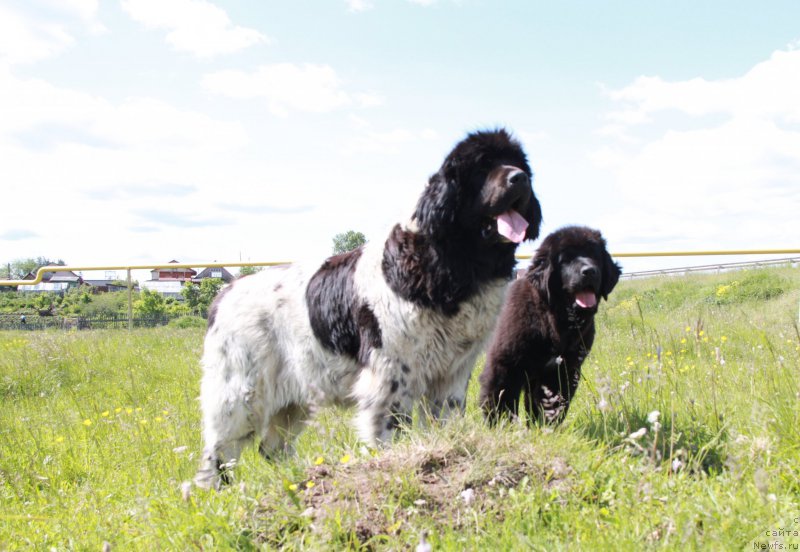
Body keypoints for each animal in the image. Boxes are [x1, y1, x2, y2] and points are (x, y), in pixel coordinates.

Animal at [196, 129, 540, 488]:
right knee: (219, 452)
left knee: (271, 447)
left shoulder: (452, 373)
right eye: (483, 166)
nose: (520, 178)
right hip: (240, 393)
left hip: (294, 396)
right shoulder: (391, 371)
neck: (449, 262)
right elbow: (390, 427)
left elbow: (444, 418)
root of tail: (224, 295)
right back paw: (216, 493)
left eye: (517, 163)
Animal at [478, 226, 620, 424]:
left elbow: (549, 404)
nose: (590, 271)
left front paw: (544, 426)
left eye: (594, 256)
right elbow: (501, 399)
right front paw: (500, 425)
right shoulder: (505, 365)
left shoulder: (560, 371)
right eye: (566, 259)